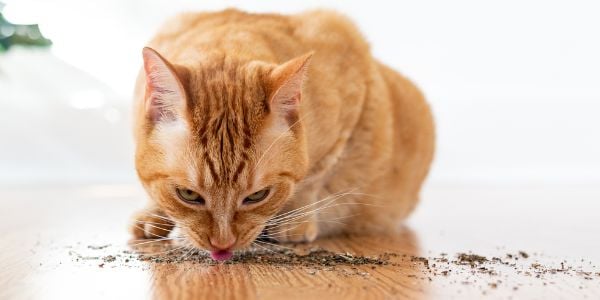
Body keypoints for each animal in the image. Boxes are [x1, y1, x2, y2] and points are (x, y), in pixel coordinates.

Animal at [131, 9, 434, 260]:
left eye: (258, 196)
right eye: (188, 195)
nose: (223, 244)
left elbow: (313, 179)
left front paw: (293, 221)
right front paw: (154, 213)